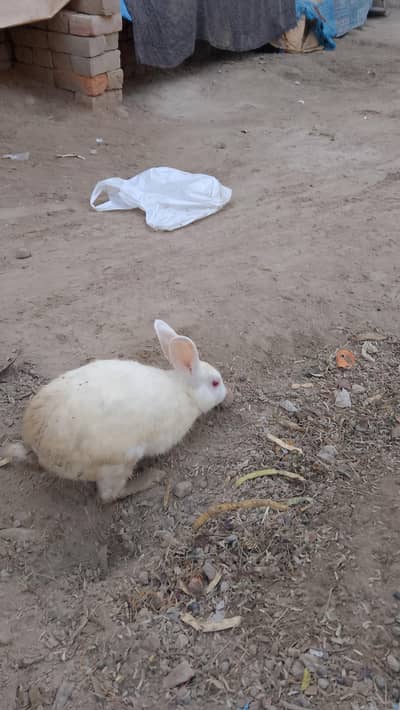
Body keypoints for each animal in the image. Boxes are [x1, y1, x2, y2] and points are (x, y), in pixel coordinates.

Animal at [4, 320, 227, 503]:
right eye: (215, 383)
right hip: (118, 463)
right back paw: (152, 478)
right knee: (109, 496)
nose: (226, 393)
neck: (185, 390)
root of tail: (38, 448)